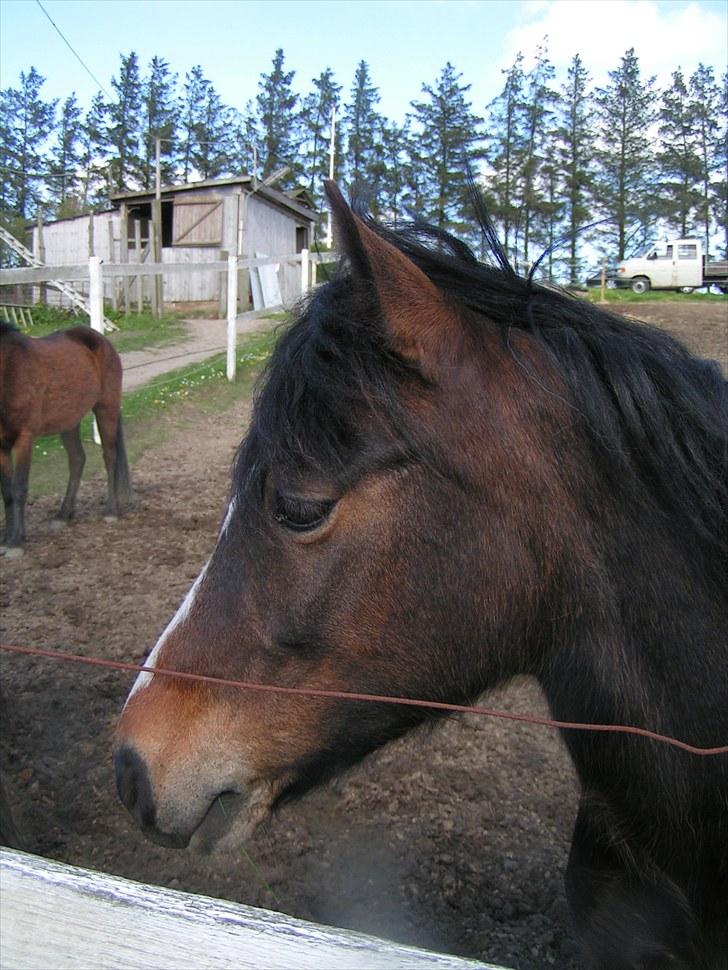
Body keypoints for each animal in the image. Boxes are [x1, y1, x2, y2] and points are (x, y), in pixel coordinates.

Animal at [0, 322, 131, 555]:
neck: (8, 369)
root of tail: (99, 339)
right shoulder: (1, 445)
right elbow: (7, 492)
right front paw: (7, 539)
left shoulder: (24, 439)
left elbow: (20, 488)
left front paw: (16, 542)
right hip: (70, 421)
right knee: (77, 459)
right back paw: (63, 515)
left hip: (106, 408)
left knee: (110, 458)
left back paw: (111, 511)